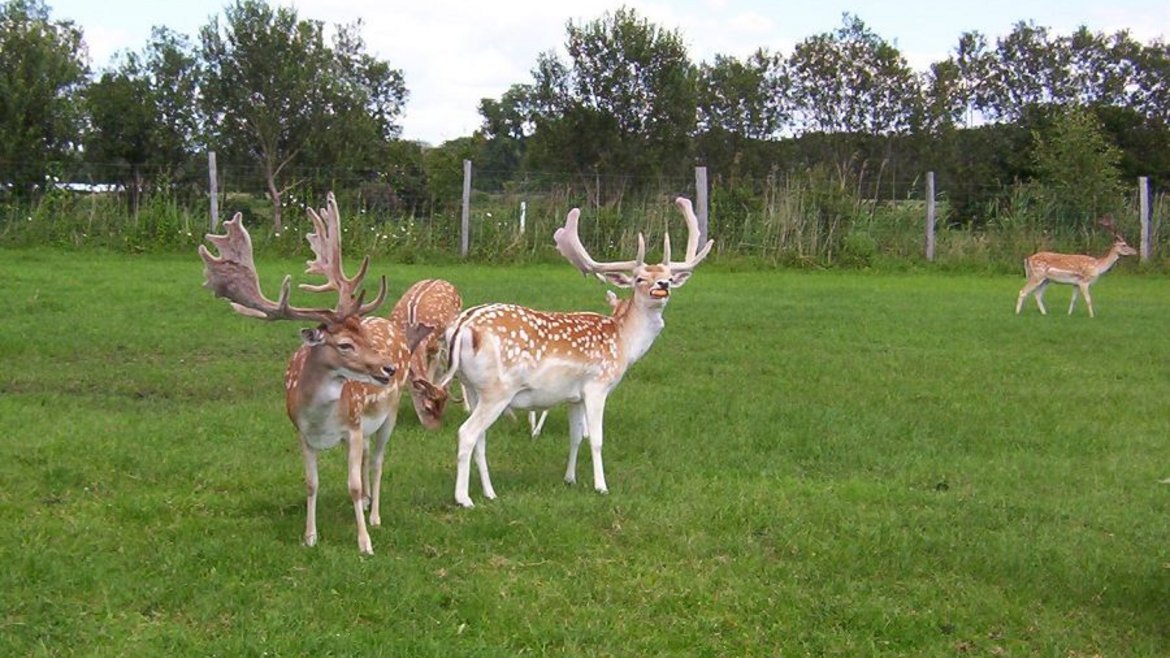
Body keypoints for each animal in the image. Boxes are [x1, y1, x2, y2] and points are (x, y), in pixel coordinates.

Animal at [198, 192, 432, 550]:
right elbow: (311, 483)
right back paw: (368, 503)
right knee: (369, 456)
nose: (388, 367)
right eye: (345, 344)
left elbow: (351, 484)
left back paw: (375, 515)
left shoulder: (352, 427)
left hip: (388, 413)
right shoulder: (302, 434)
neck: (321, 418)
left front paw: (364, 543)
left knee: (378, 460)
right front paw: (309, 537)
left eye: (363, 335)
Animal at [435, 196, 711, 503]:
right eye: (639, 278)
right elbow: (597, 439)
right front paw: (601, 486)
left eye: (669, 277)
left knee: (480, 438)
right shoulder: (597, 385)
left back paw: (490, 492)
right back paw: (464, 499)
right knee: (467, 433)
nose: (661, 285)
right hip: (498, 390)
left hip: (473, 387)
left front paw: (570, 479)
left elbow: (576, 436)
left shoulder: (574, 396)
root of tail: (462, 326)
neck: (623, 342)